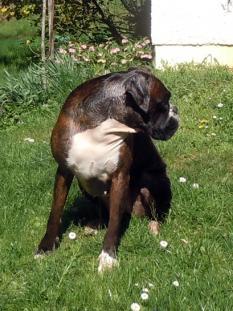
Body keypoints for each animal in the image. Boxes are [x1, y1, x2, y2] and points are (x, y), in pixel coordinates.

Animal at [35, 68, 179, 272]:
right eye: (164, 102)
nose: (176, 110)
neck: (102, 125)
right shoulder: (64, 171)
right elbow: (55, 212)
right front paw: (46, 247)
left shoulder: (120, 177)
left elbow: (114, 222)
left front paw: (108, 256)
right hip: (84, 183)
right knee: (104, 211)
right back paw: (96, 225)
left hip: (152, 184)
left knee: (151, 212)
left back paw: (153, 226)